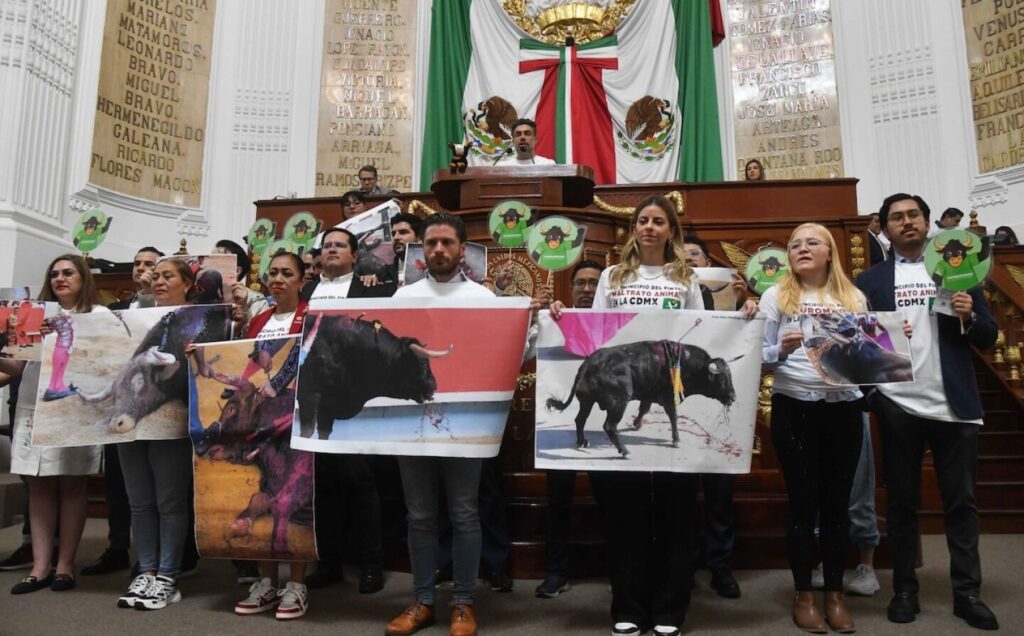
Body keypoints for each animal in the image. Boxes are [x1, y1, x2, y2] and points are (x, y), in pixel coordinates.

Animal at [299, 315, 454, 438]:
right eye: (422, 364)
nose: (434, 386)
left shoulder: (328, 405)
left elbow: (324, 432)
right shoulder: (309, 396)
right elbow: (307, 431)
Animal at [544, 342, 737, 456]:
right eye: (722, 380)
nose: (733, 397)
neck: (685, 364)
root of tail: (588, 363)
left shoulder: (649, 395)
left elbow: (644, 408)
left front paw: (637, 424)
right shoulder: (668, 398)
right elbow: (673, 417)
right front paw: (676, 440)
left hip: (587, 401)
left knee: (580, 419)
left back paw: (582, 442)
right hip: (618, 403)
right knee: (609, 426)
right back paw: (624, 451)